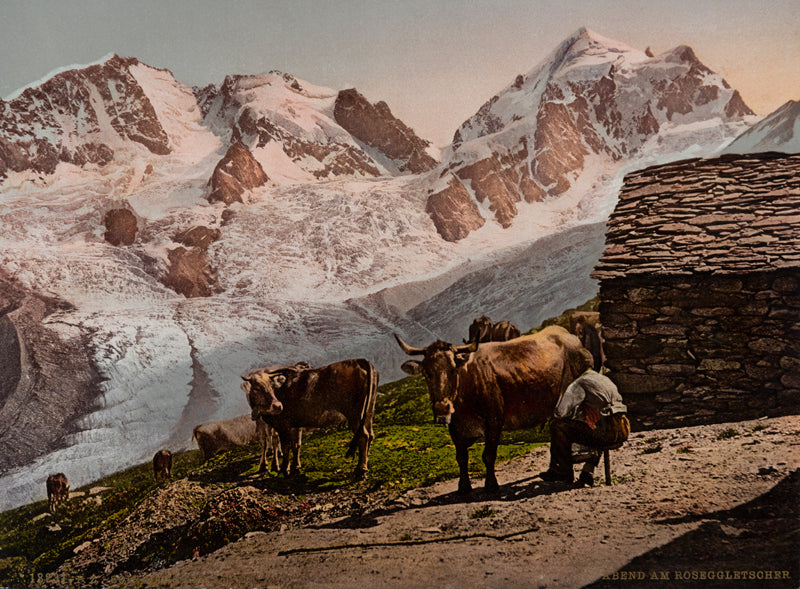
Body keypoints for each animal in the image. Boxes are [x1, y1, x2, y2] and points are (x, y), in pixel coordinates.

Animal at [242, 358, 380, 478]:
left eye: (272, 386)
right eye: (256, 388)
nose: (278, 406)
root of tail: (360, 361)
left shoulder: (283, 426)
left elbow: (286, 447)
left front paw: (284, 470)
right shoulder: (295, 425)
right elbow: (296, 445)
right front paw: (295, 467)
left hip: (354, 415)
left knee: (363, 436)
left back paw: (361, 470)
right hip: (368, 412)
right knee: (370, 435)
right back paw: (365, 463)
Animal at [396, 324, 592, 494]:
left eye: (452, 370)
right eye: (427, 373)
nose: (442, 408)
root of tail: (567, 334)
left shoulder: (494, 421)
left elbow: (488, 455)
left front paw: (491, 485)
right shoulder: (455, 429)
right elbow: (461, 458)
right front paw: (463, 487)